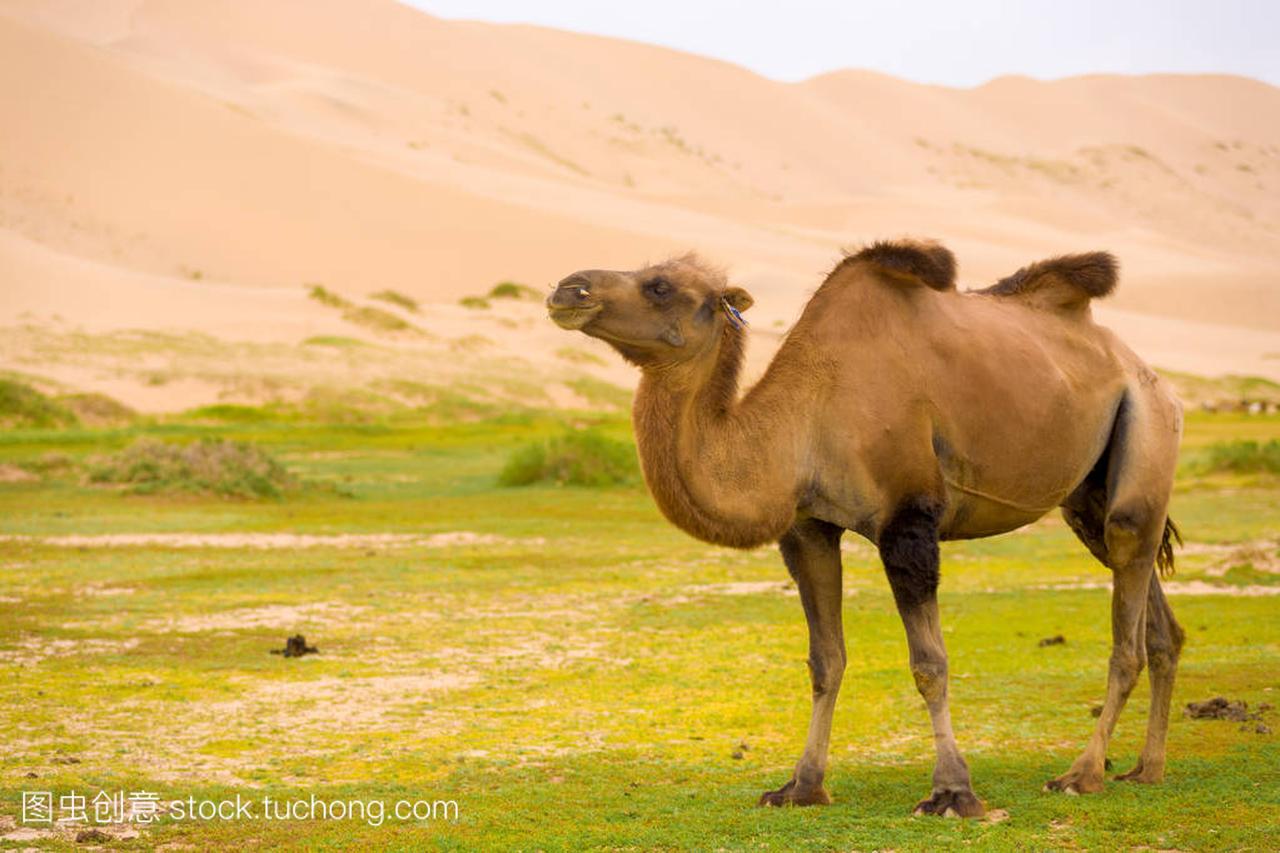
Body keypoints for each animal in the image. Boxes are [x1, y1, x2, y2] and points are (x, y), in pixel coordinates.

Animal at [545, 240, 1182, 819]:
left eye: (660, 286)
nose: (567, 288)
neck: (803, 421)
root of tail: (1147, 372)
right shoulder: (808, 528)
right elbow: (825, 661)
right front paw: (800, 787)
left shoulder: (908, 521)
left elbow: (929, 664)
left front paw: (953, 794)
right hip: (1087, 495)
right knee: (1153, 611)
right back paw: (1146, 769)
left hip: (1146, 428)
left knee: (1127, 617)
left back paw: (1081, 774)